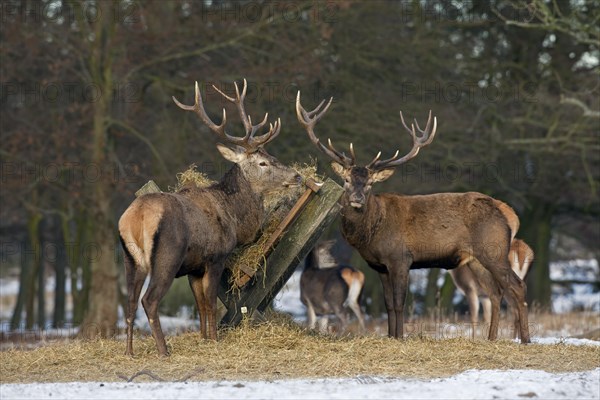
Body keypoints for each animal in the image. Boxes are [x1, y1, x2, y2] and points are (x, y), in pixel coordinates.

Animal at [118, 79, 300, 354]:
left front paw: (203, 338)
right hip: (167, 256)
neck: (234, 217)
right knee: (148, 300)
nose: (297, 176)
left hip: (131, 259)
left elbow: (201, 304)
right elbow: (211, 302)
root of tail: (136, 217)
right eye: (263, 163)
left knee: (129, 301)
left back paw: (129, 351)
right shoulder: (215, 257)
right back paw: (163, 350)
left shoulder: (195, 267)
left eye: (272, 157)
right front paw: (214, 340)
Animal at [294, 91, 528, 344]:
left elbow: (399, 303)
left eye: (369, 183)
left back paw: (525, 339)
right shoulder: (380, 266)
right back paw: (491, 338)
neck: (372, 233)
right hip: (475, 258)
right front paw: (390, 335)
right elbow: (387, 304)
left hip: (494, 249)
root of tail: (510, 214)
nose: (357, 198)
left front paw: (400, 337)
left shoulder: (400, 258)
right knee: (495, 292)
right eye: (346, 180)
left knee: (517, 285)